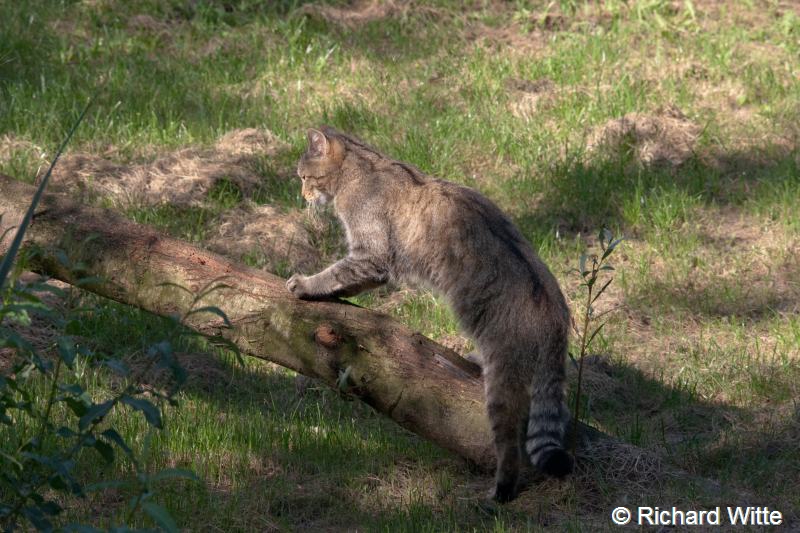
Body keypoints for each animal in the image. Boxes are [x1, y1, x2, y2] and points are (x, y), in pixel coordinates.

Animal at [288, 127, 576, 500]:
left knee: (511, 445)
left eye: (304, 176)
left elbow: (336, 274)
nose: (303, 195)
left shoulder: (370, 256)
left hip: (503, 387)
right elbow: (346, 283)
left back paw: (500, 492)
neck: (363, 167)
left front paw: (306, 285)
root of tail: (555, 316)